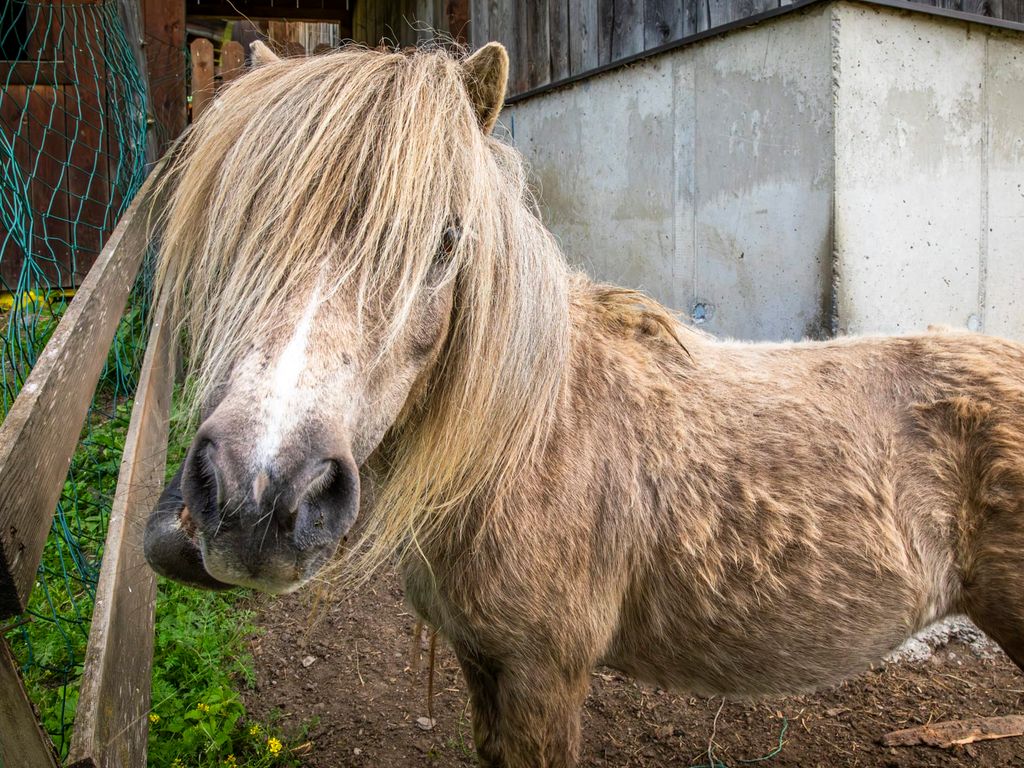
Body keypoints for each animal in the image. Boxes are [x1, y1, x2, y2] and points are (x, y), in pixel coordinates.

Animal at [144, 41, 1024, 767]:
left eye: (446, 240)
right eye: (240, 227)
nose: (259, 497)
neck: (531, 442)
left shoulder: (544, 674)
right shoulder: (481, 661)